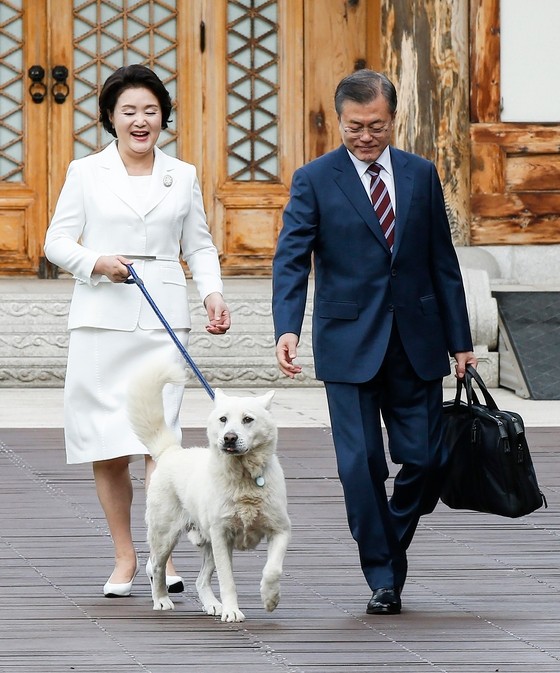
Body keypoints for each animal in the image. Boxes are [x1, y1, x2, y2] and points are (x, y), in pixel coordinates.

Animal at [129, 360, 290, 624]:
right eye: (223, 419)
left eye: (248, 419)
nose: (229, 438)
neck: (243, 478)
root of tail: (171, 452)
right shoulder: (222, 536)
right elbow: (228, 580)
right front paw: (232, 611)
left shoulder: (280, 530)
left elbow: (273, 569)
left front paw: (270, 599)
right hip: (165, 535)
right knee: (156, 567)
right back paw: (162, 600)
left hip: (207, 543)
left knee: (200, 580)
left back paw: (213, 605)